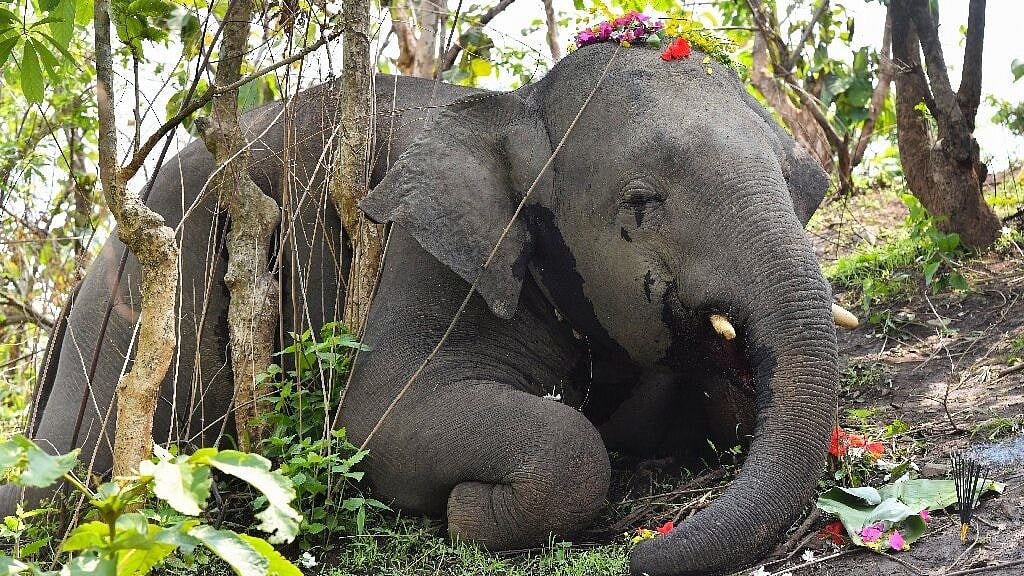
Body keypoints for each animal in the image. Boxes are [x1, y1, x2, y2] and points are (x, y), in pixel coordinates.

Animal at [1, 43, 845, 575]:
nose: (640, 550)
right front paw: (470, 512)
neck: (521, 104)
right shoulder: (420, 252)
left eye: (805, 185)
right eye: (642, 204)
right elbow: (381, 417)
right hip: (139, 305)